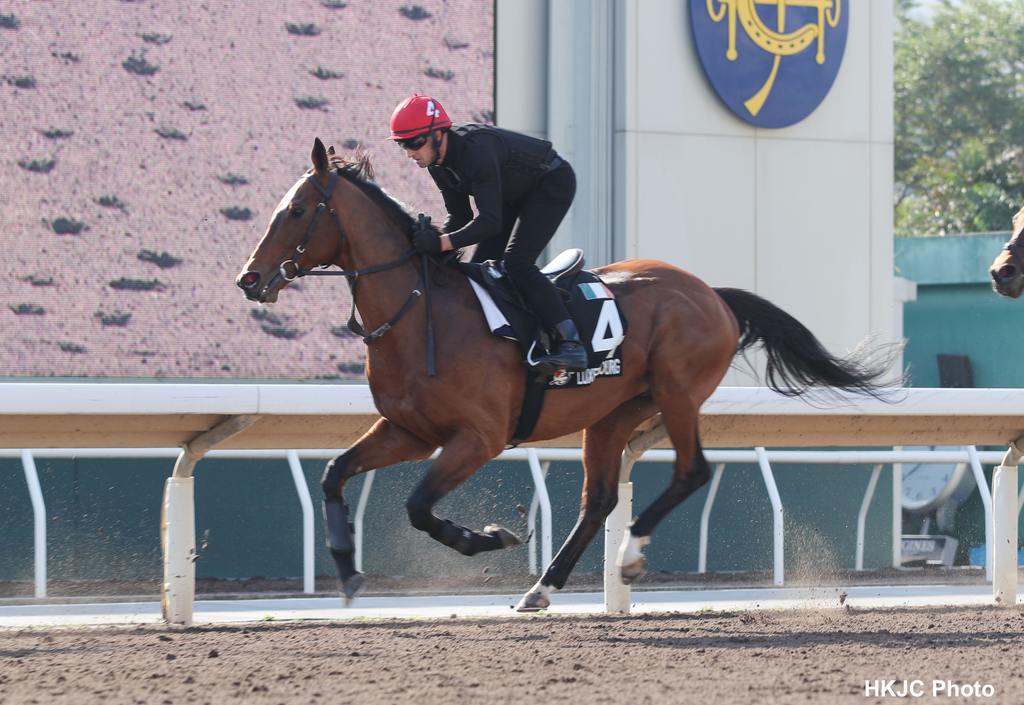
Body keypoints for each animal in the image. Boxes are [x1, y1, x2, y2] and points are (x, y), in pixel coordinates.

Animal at [235, 137, 892, 610]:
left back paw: (628, 555)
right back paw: (542, 587)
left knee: (692, 471)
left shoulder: (479, 437)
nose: (250, 278)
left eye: (297, 210)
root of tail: (713, 295)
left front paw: (490, 538)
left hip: (677, 392)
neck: (420, 309)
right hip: (610, 416)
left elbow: (420, 507)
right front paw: (347, 572)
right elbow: (333, 474)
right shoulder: (409, 431)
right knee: (598, 500)